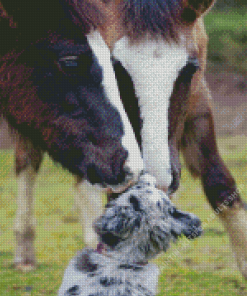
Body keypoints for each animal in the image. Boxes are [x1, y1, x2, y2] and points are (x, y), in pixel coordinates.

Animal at [0, 0, 247, 280]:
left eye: (189, 70)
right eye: (117, 70)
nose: (158, 180)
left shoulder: (198, 96)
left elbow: (219, 181)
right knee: (28, 161)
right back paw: (26, 248)